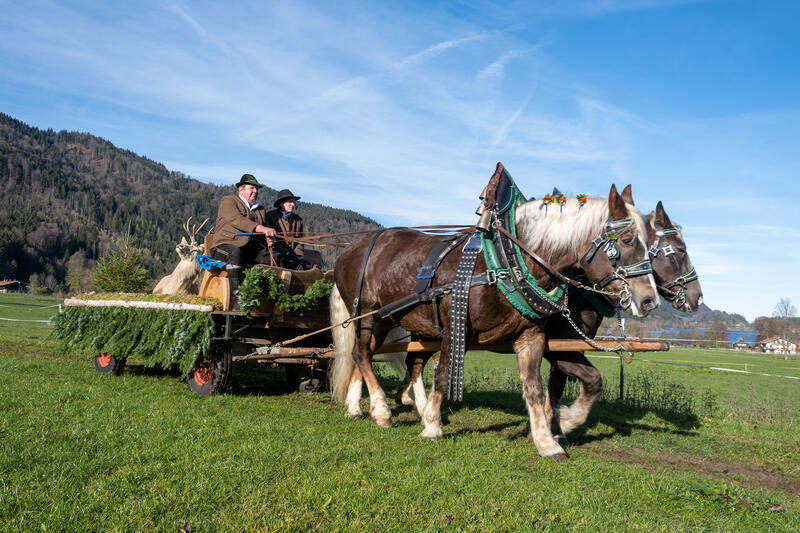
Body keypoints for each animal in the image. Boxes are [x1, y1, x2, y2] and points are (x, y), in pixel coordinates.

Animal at [330, 183, 656, 458]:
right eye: (627, 240)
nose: (649, 300)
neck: (505, 262)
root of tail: (353, 248)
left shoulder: (532, 337)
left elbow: (536, 389)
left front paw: (548, 439)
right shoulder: (454, 329)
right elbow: (443, 375)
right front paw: (433, 426)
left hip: (395, 319)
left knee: (370, 355)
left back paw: (359, 408)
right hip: (368, 312)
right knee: (363, 353)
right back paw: (381, 411)